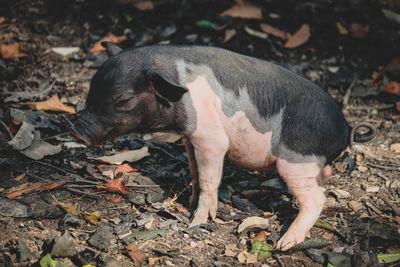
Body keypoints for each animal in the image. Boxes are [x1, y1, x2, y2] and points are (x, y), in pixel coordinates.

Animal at [70, 43, 370, 252]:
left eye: (123, 100)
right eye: (91, 88)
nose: (77, 128)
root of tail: (344, 127)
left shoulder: (211, 139)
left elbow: (208, 179)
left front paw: (197, 221)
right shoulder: (191, 138)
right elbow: (194, 172)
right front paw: (189, 202)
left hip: (296, 160)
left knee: (317, 199)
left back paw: (284, 244)